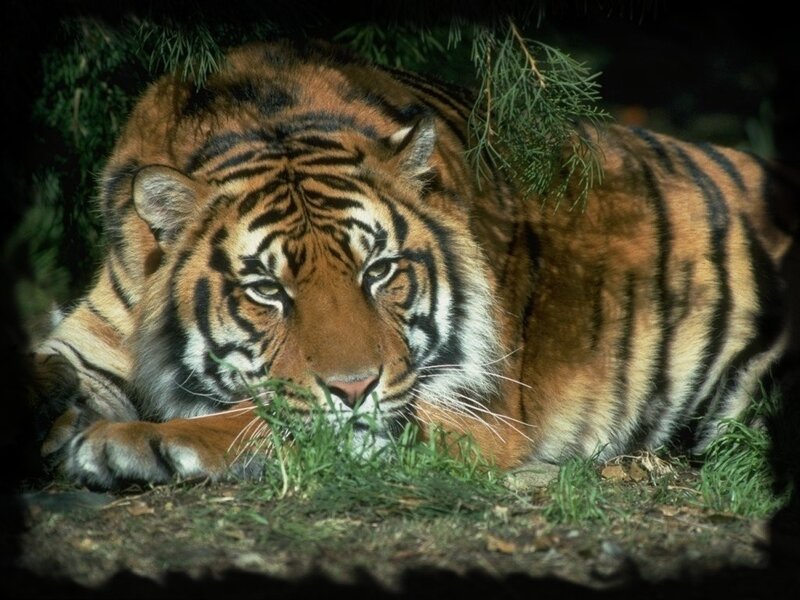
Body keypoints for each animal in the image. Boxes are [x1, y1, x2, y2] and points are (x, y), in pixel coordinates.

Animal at [29, 39, 798, 490]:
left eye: (379, 272)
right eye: (267, 289)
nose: (354, 387)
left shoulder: (470, 409)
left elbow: (269, 419)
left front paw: (130, 444)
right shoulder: (91, 336)